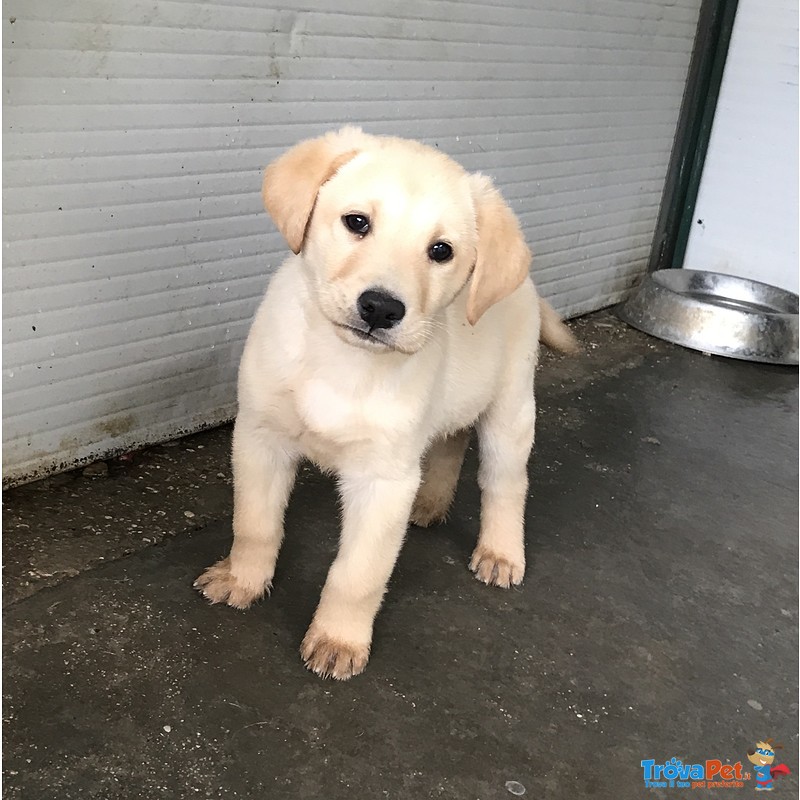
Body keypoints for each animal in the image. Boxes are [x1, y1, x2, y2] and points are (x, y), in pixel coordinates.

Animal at [197, 128, 580, 680]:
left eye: (441, 251)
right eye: (357, 222)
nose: (380, 308)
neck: (342, 360)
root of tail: (527, 286)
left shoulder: (383, 480)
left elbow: (357, 574)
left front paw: (338, 639)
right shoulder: (260, 437)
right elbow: (253, 525)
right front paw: (242, 580)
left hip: (510, 410)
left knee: (505, 485)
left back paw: (501, 551)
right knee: (450, 442)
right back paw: (430, 503)